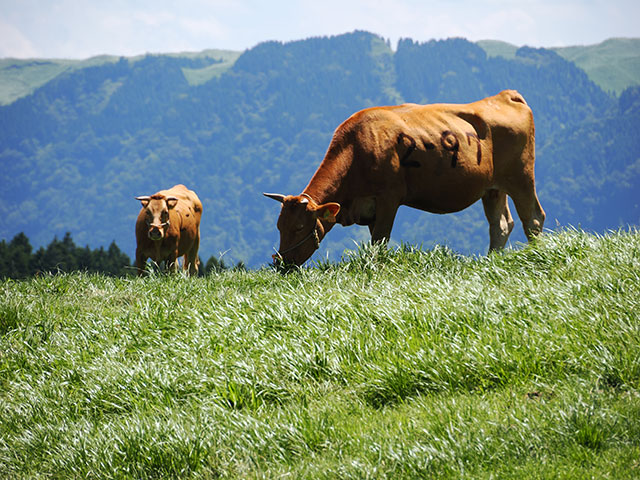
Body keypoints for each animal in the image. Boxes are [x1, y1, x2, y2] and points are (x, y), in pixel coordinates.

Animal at [264, 89, 544, 266]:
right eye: (279, 226)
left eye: (299, 227)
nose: (281, 264)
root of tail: (504, 96)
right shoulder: (369, 209)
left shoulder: (389, 198)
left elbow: (380, 242)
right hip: (493, 188)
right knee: (500, 224)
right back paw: (491, 261)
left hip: (521, 176)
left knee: (533, 218)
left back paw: (534, 256)